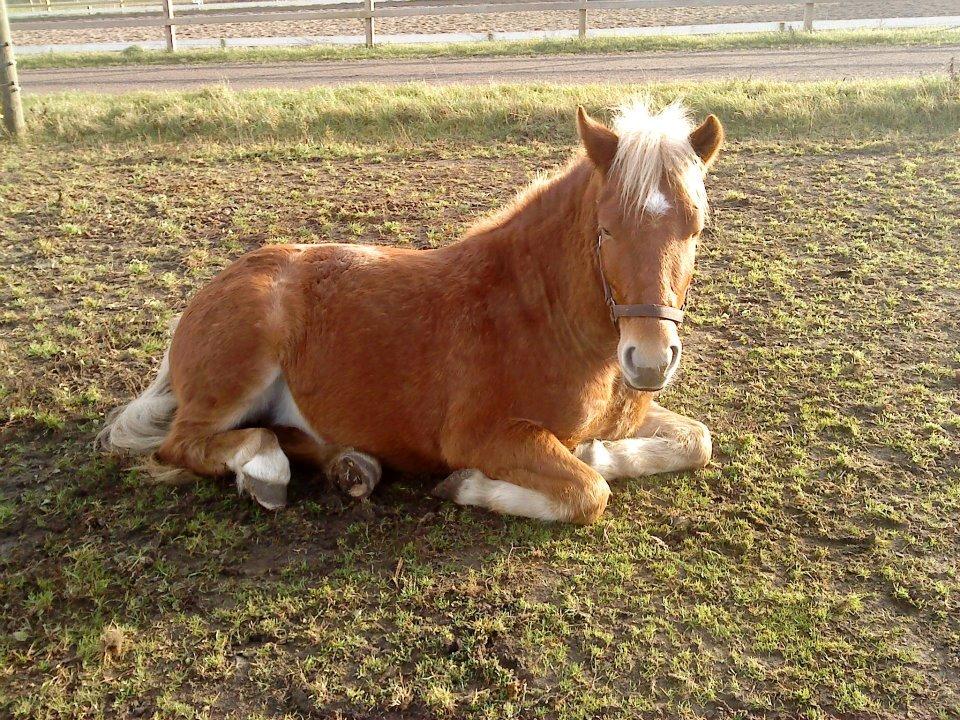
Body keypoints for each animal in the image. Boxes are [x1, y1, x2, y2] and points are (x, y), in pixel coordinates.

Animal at [101, 97, 724, 524]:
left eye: (696, 227)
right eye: (607, 229)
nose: (649, 361)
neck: (542, 318)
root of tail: (212, 290)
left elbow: (696, 440)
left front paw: (599, 449)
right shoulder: (483, 437)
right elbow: (587, 492)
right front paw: (469, 486)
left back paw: (353, 466)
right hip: (237, 373)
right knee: (184, 444)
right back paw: (266, 471)